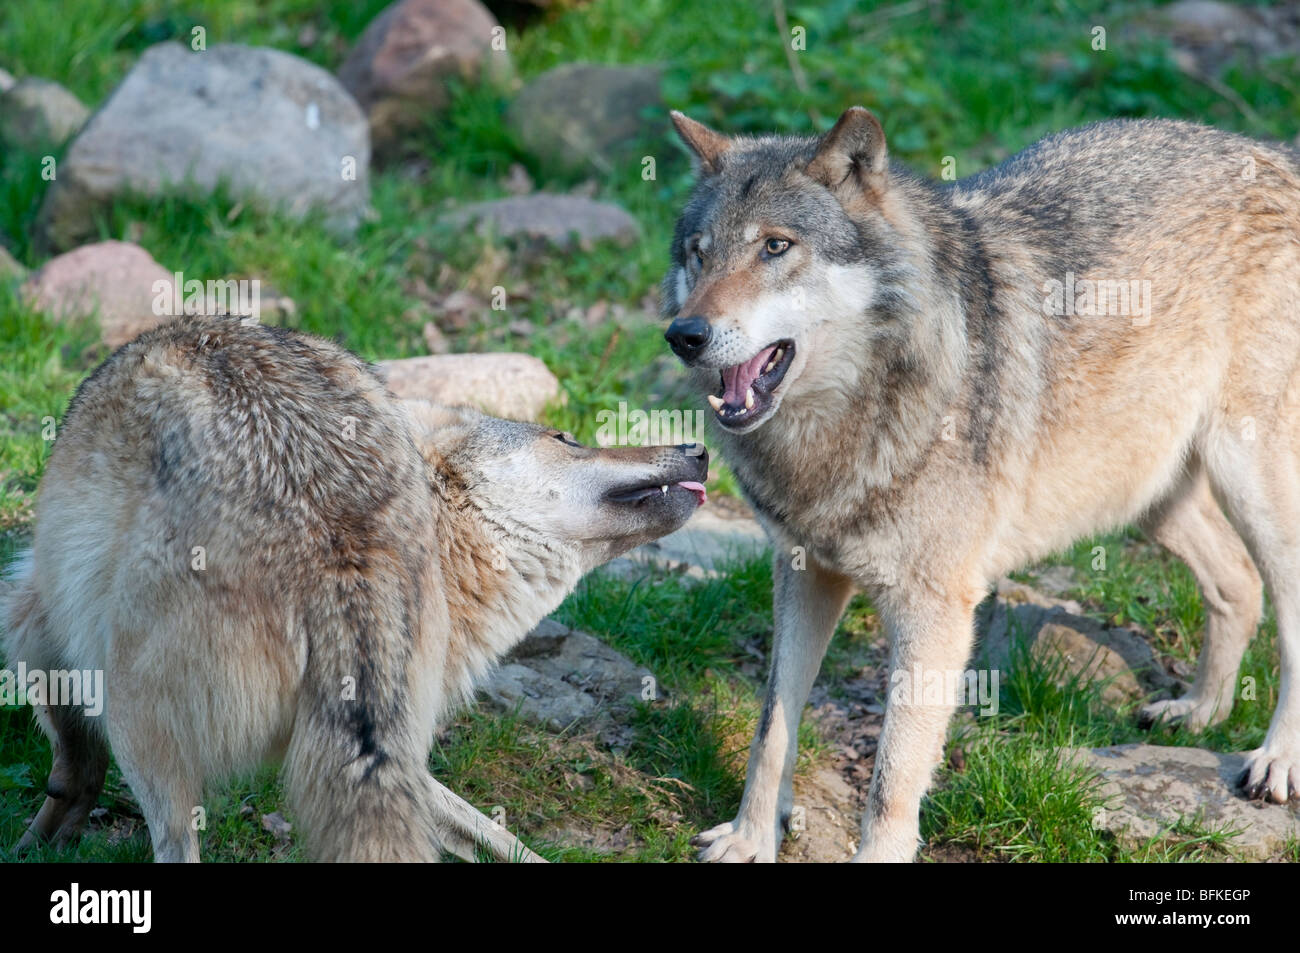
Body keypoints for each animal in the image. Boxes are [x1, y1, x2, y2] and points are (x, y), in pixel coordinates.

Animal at [2, 319, 712, 863]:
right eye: (565, 438)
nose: (699, 447)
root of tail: (333, 531)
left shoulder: (34, 607)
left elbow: (70, 747)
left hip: (136, 713)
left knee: (175, 843)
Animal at [665, 105, 1294, 863]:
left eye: (776, 247)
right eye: (698, 252)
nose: (684, 334)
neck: (850, 416)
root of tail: (1274, 152)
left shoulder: (935, 610)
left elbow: (892, 777)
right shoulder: (804, 571)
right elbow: (771, 729)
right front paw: (749, 840)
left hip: (1249, 482)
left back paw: (1275, 759)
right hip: (1144, 492)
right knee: (1237, 582)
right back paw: (1200, 711)